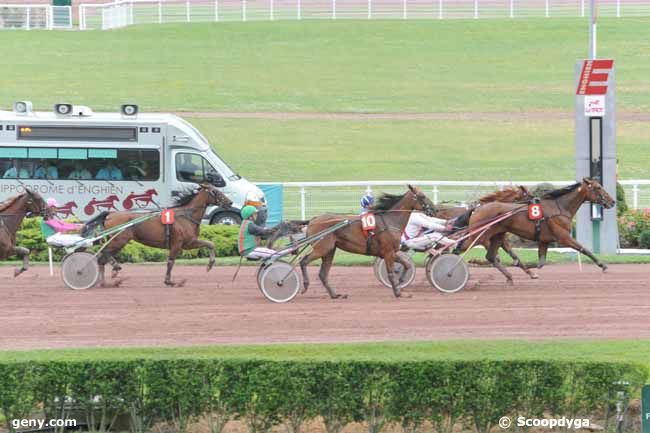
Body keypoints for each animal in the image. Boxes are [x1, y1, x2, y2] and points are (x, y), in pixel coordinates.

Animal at [92, 183, 232, 286]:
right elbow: (170, 262)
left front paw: (210, 265)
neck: (186, 216)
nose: (230, 203)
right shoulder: (178, 244)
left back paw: (104, 281)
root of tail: (111, 214)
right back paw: (114, 269)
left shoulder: (189, 243)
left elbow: (210, 244)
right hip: (119, 240)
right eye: (215, 191)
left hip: (117, 241)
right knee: (103, 253)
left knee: (102, 257)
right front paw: (169, 281)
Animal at [300, 184, 432, 298]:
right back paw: (305, 285)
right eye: (422, 196)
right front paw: (398, 292)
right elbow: (390, 273)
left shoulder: (388, 252)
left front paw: (401, 280)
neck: (390, 221)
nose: (434, 209)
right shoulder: (388, 252)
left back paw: (334, 295)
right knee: (303, 261)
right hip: (322, 248)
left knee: (323, 273)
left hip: (329, 251)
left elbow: (407, 264)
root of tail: (313, 220)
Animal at [458, 178, 616, 284]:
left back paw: (508, 276)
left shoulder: (543, 240)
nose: (612, 201)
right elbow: (585, 249)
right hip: (479, 235)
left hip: (497, 235)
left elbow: (540, 263)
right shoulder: (563, 237)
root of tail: (477, 208)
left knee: (490, 256)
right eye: (598, 187)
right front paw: (603, 265)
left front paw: (527, 270)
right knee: (461, 248)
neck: (560, 208)